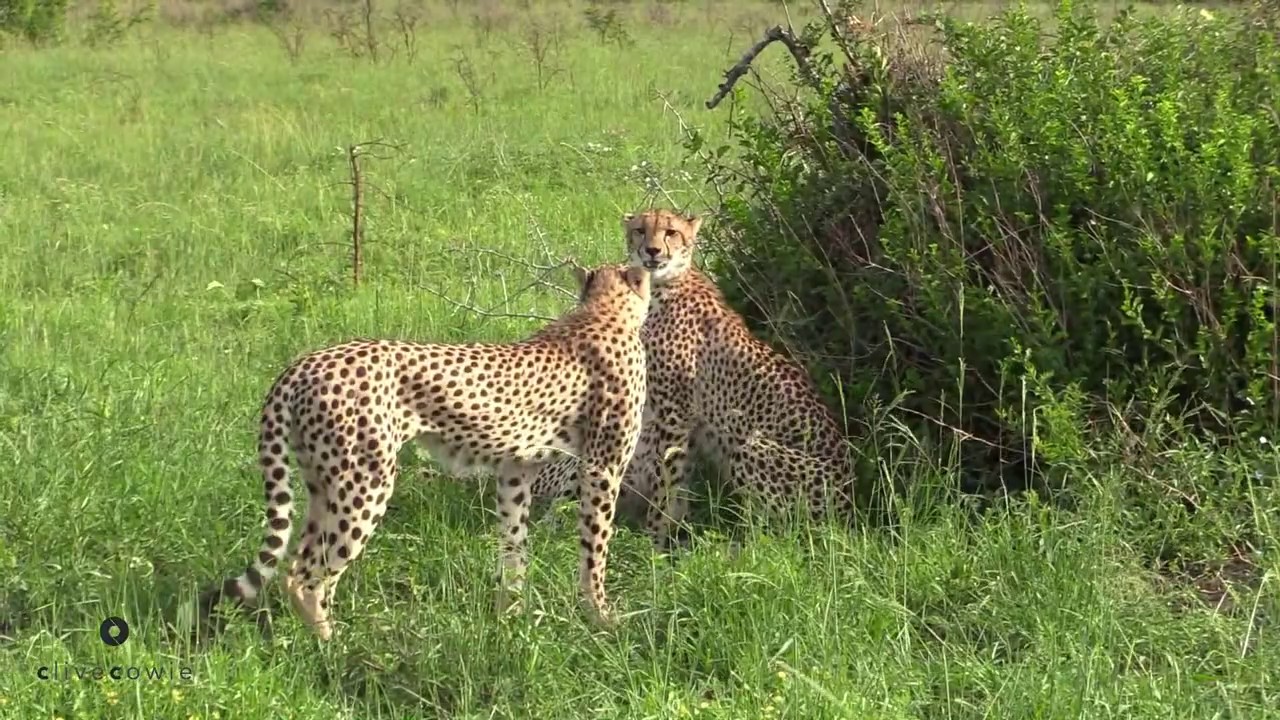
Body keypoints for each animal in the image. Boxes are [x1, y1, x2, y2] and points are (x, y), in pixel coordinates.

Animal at [200, 262, 653, 641]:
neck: (602, 311)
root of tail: (303, 364)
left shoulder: (515, 468)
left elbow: (514, 544)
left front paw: (511, 617)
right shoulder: (602, 468)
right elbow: (595, 548)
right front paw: (600, 617)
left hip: (323, 484)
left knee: (301, 563)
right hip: (365, 484)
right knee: (306, 574)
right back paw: (333, 646)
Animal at [533, 209, 857, 551]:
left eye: (671, 232)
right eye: (639, 230)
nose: (652, 251)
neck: (661, 286)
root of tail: (848, 509)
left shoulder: (675, 413)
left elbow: (667, 477)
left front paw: (655, 541)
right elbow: (675, 477)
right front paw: (669, 533)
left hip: (750, 446)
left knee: (783, 532)